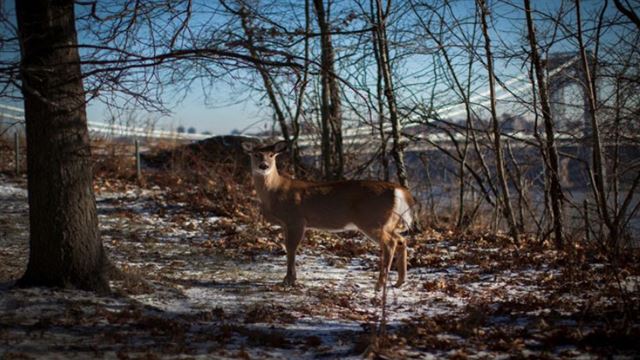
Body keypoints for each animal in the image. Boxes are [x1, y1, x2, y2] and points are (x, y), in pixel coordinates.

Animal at [241, 141, 416, 290]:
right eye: (256, 154)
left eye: (271, 155)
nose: (263, 166)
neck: (275, 191)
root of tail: (400, 190)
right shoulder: (286, 224)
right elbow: (288, 247)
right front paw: (289, 279)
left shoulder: (296, 219)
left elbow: (291, 248)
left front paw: (289, 281)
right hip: (388, 222)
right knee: (401, 240)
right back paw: (400, 282)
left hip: (372, 220)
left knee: (390, 243)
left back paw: (380, 285)